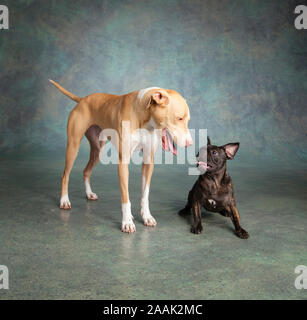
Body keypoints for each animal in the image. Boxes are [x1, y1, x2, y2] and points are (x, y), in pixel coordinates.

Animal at [49, 80, 192, 232]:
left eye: (187, 120)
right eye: (179, 118)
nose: (190, 143)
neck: (143, 116)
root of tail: (83, 100)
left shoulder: (148, 162)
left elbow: (145, 194)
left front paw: (146, 216)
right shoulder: (123, 163)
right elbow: (126, 198)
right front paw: (127, 222)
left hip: (98, 151)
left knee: (86, 171)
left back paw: (89, 194)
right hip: (73, 146)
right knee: (65, 175)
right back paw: (64, 200)